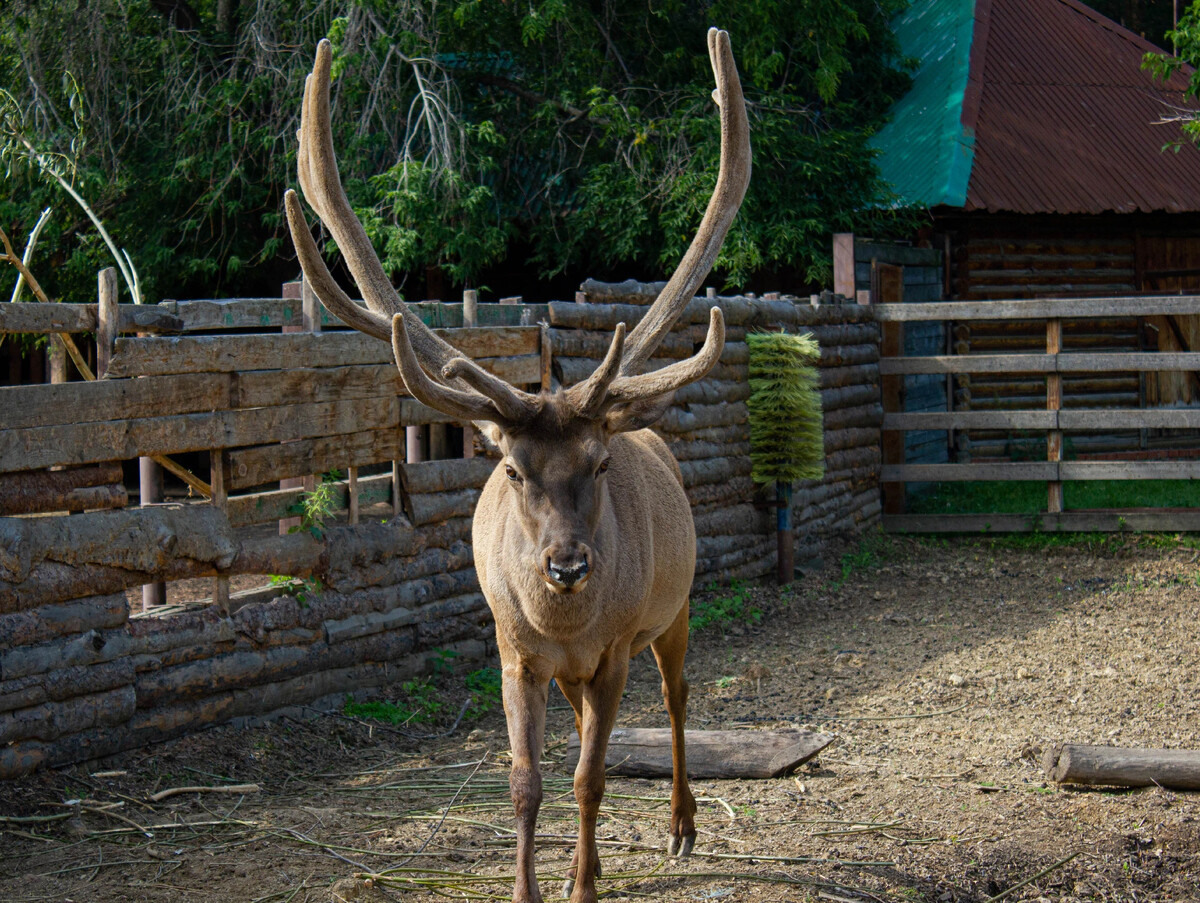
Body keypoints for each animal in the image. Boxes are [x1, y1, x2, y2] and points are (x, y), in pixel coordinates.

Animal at [283, 28, 748, 903]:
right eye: (512, 471)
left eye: (599, 464)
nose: (566, 566)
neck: (562, 624)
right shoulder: (513, 651)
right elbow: (530, 781)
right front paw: (540, 882)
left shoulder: (614, 649)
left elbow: (590, 778)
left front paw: (587, 885)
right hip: (574, 667)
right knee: (591, 728)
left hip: (673, 608)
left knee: (677, 699)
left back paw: (680, 824)